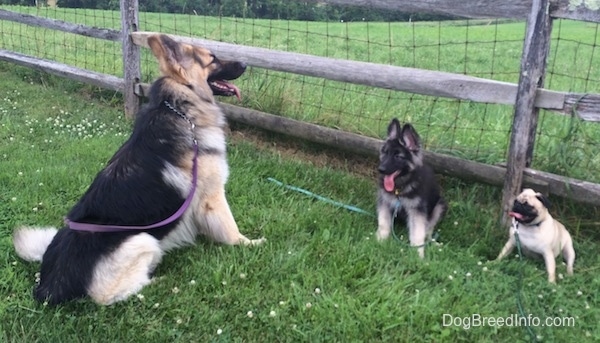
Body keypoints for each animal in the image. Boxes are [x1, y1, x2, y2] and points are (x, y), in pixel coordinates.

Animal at [11, 33, 264, 306]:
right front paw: (250, 243)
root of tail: (47, 285)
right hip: (144, 240)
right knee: (110, 295)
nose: (245, 64)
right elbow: (230, 228)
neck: (181, 106)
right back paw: (160, 282)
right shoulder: (213, 196)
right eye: (212, 59)